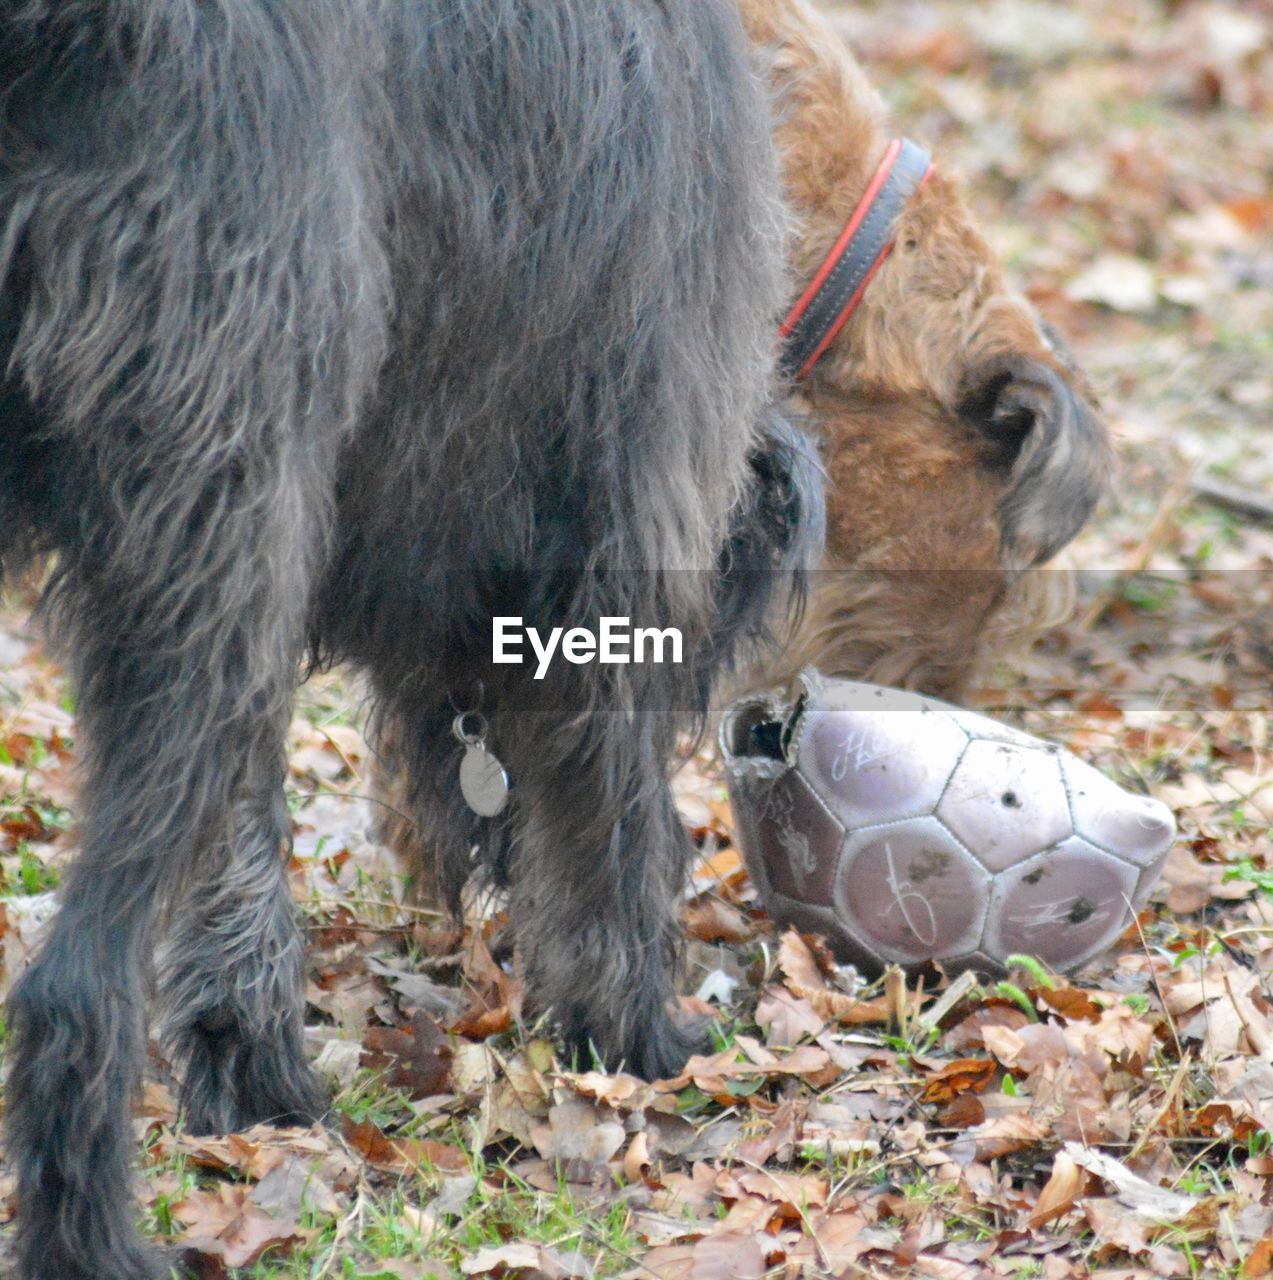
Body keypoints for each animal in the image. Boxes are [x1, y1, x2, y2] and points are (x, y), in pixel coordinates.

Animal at [0, 5, 818, 1274]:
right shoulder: (634, 492)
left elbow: (243, 833)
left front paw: (250, 1064)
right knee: (70, 990)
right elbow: (615, 815)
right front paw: (636, 1031)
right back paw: (93, 1242)